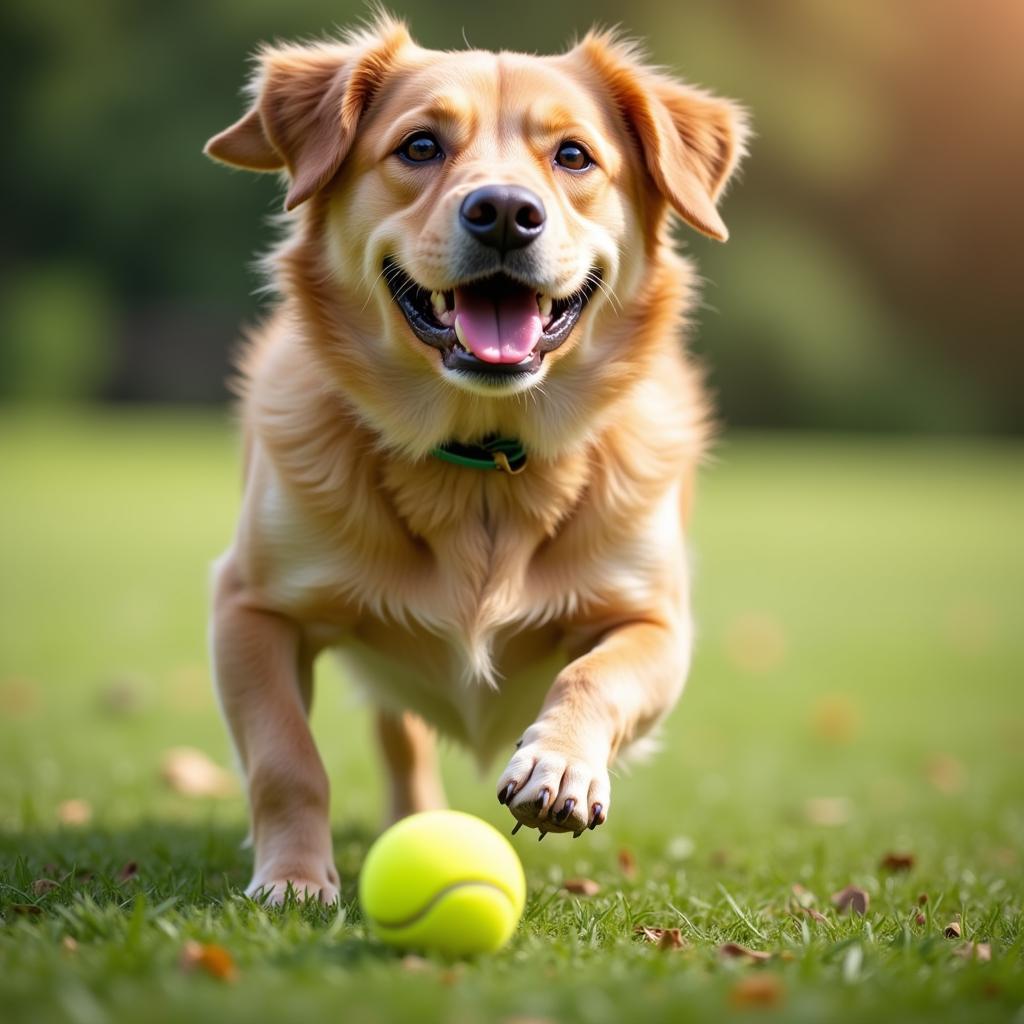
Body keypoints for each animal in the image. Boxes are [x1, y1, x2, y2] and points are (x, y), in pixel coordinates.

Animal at [203, 12, 749, 901]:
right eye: (420, 146)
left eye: (574, 156)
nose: (502, 212)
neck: (483, 460)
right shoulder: (248, 608)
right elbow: (288, 758)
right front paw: (293, 876)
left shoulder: (657, 621)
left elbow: (596, 674)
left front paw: (558, 768)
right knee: (398, 738)